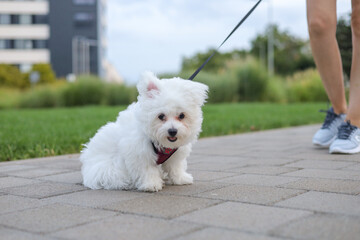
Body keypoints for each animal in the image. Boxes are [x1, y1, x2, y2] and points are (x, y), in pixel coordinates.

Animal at [79, 71, 208, 191]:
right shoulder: (139, 153)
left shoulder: (175, 156)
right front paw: (152, 184)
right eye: (161, 116)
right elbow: (147, 170)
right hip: (110, 171)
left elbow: (175, 167)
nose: (172, 131)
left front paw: (181, 179)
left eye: (181, 116)